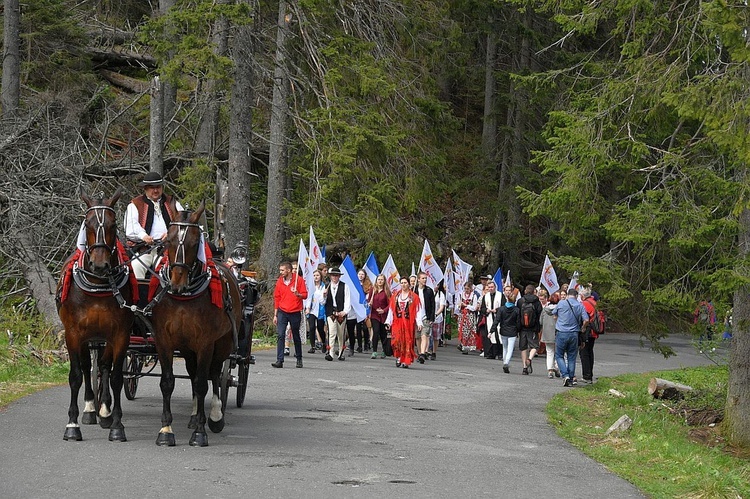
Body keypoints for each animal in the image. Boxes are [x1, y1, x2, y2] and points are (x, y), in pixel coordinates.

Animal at [57, 189, 134, 444]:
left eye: (113, 224)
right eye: (87, 223)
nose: (100, 264)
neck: (98, 284)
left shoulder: (120, 335)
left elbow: (116, 376)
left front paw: (116, 425)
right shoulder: (73, 334)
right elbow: (75, 375)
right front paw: (72, 426)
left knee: (103, 366)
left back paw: (104, 410)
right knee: (85, 366)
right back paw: (91, 408)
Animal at [153, 201, 244, 448]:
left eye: (195, 243)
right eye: (168, 240)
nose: (177, 282)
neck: (184, 298)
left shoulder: (205, 343)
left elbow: (204, 383)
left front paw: (201, 432)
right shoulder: (164, 341)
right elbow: (168, 382)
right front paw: (166, 430)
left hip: (221, 344)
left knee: (214, 375)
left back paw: (214, 416)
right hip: (187, 348)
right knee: (193, 374)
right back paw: (195, 416)